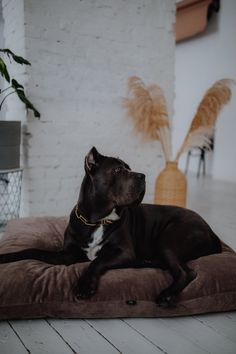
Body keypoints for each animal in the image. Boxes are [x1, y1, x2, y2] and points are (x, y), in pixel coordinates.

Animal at [0, 148, 221, 306]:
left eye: (129, 168)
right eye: (118, 170)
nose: (142, 176)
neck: (96, 220)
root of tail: (211, 230)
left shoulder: (123, 252)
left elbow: (97, 261)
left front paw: (84, 285)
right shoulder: (66, 255)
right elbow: (32, 250)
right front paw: (7, 256)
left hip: (168, 240)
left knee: (187, 273)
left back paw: (166, 295)